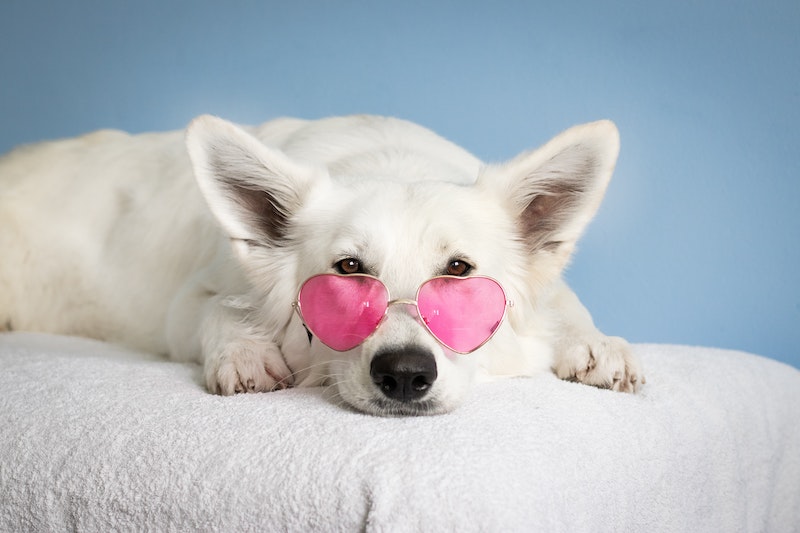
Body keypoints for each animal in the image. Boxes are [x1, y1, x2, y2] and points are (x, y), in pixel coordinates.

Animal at [0, 115, 640, 416]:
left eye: (458, 272)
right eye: (348, 270)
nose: (404, 375)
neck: (389, 160)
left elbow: (565, 303)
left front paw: (597, 344)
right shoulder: (186, 303)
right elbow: (218, 312)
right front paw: (245, 351)